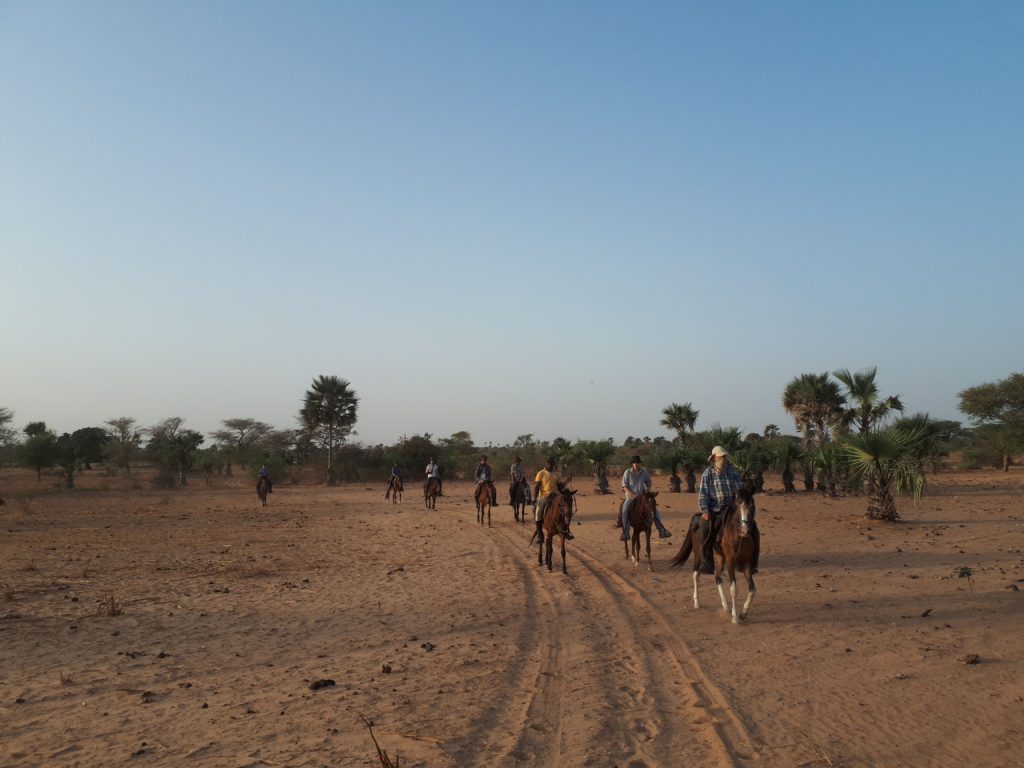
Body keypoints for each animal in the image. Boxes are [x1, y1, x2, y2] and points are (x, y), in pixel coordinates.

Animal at [667, 487, 757, 626]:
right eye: (738, 506)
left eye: (752, 506)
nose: (745, 530)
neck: (737, 536)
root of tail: (697, 518)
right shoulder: (730, 561)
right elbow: (734, 589)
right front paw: (735, 617)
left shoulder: (746, 562)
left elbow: (752, 589)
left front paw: (743, 613)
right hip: (699, 555)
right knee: (696, 574)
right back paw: (697, 602)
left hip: (720, 557)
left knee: (717, 576)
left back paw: (725, 605)